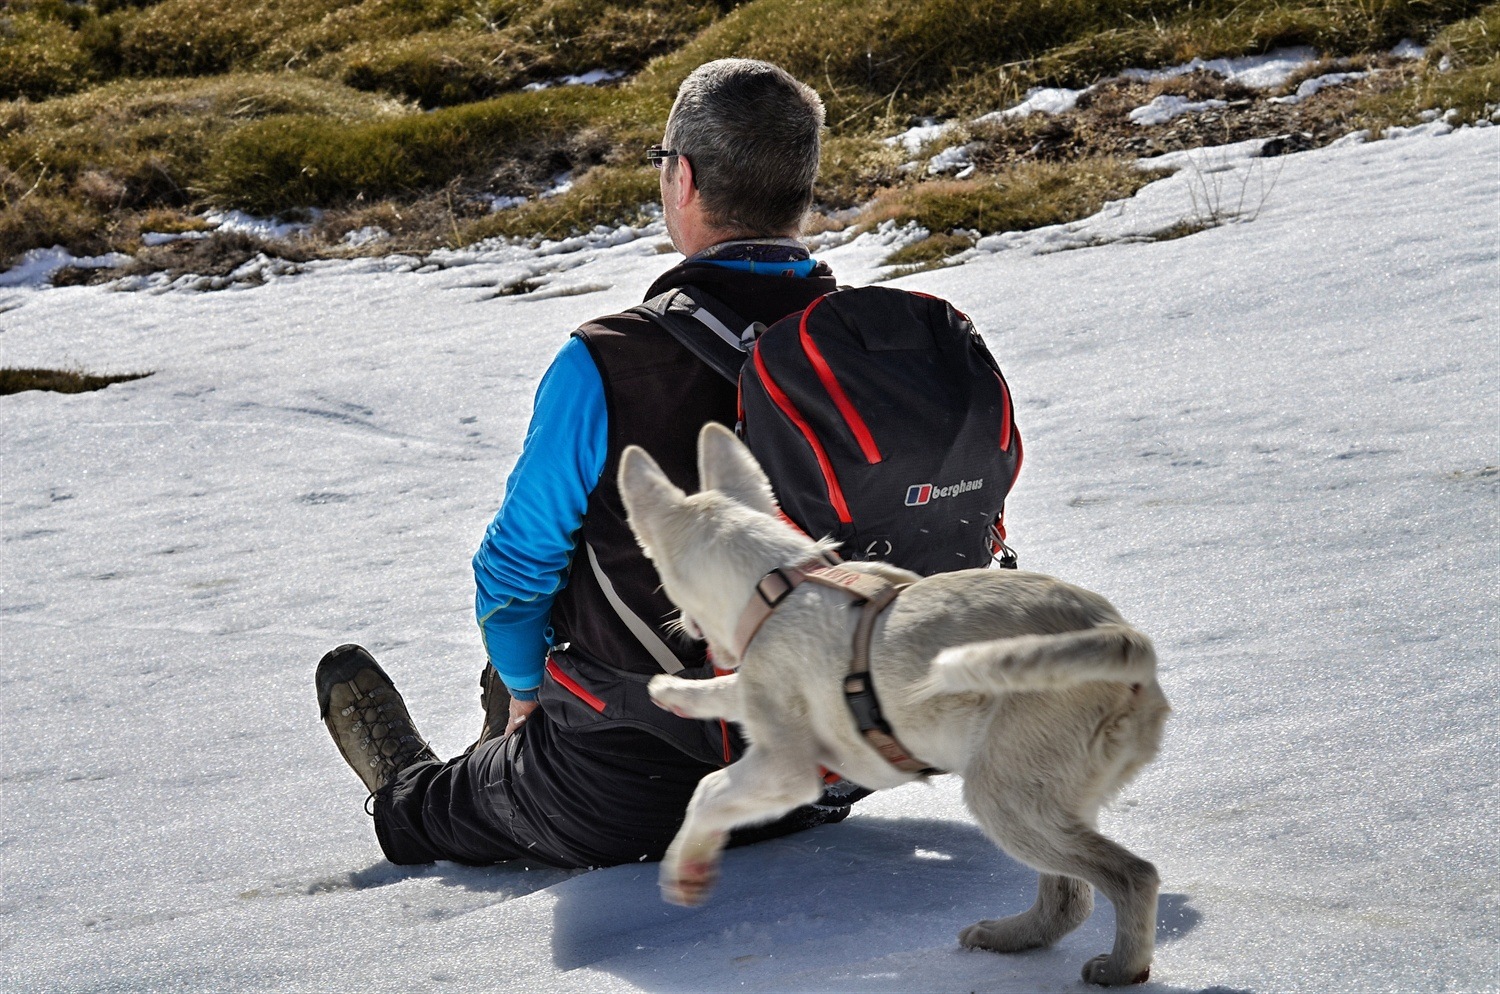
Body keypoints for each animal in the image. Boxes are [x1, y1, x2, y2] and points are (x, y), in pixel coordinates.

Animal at [618, 422, 1170, 989]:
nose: (681, 627)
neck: (776, 586)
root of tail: (1119, 635)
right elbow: (729, 692)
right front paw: (675, 694)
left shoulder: (786, 771)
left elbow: (708, 790)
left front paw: (686, 870)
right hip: (1049, 793)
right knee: (1068, 898)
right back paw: (1009, 937)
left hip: (1006, 791)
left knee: (1132, 876)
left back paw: (1121, 967)